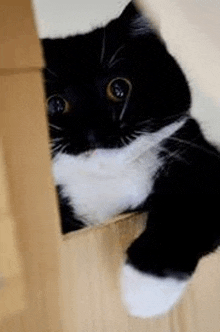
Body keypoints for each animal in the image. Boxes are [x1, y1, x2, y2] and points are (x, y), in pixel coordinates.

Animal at [42, 1, 220, 320]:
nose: (94, 130)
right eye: (55, 104)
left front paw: (146, 291)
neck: (109, 179)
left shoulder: (203, 161)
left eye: (119, 88)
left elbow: (185, 209)